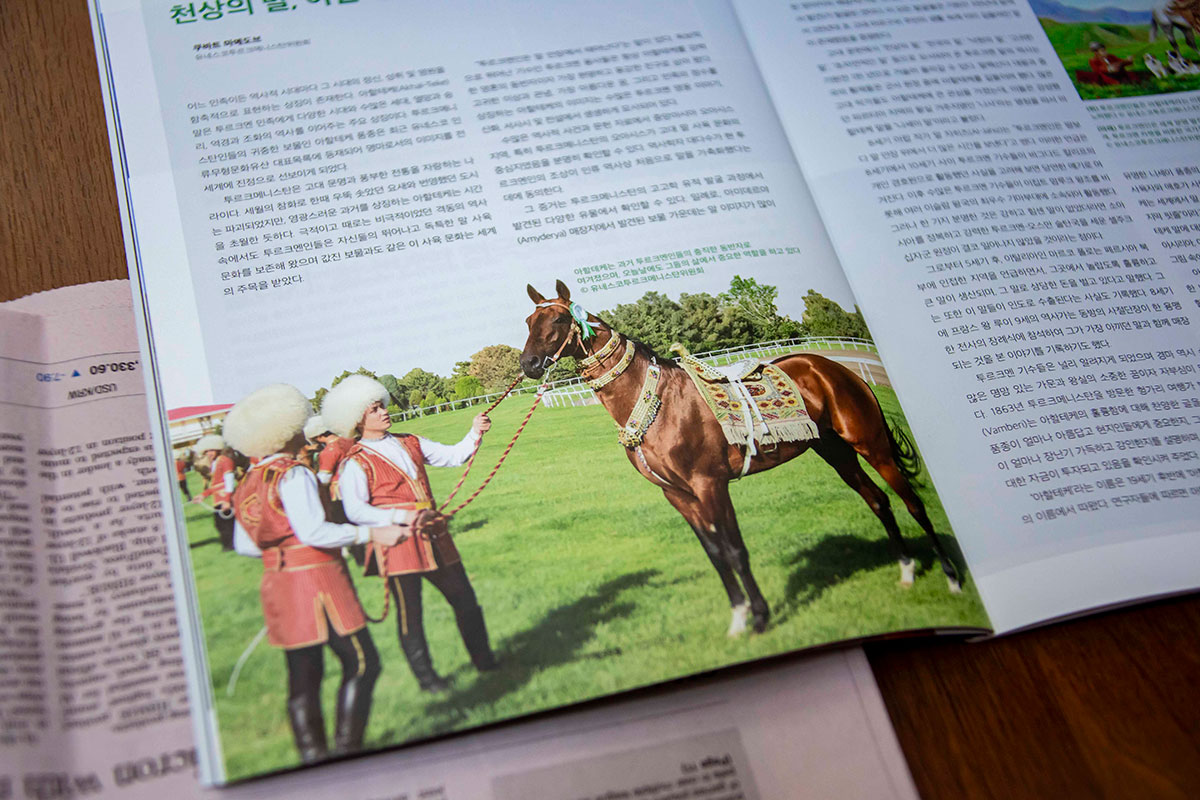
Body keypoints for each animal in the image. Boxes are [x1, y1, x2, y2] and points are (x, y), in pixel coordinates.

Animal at [520, 281, 960, 638]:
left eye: (558, 318)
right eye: (528, 320)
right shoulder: (678, 496)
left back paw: (953, 579)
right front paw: (738, 619)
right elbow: (716, 555)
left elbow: (735, 550)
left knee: (912, 502)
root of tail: (830, 367)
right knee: (879, 501)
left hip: (871, 445)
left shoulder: (710, 485)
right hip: (835, 452)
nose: (528, 365)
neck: (658, 402)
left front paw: (760, 618)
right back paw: (906, 572)